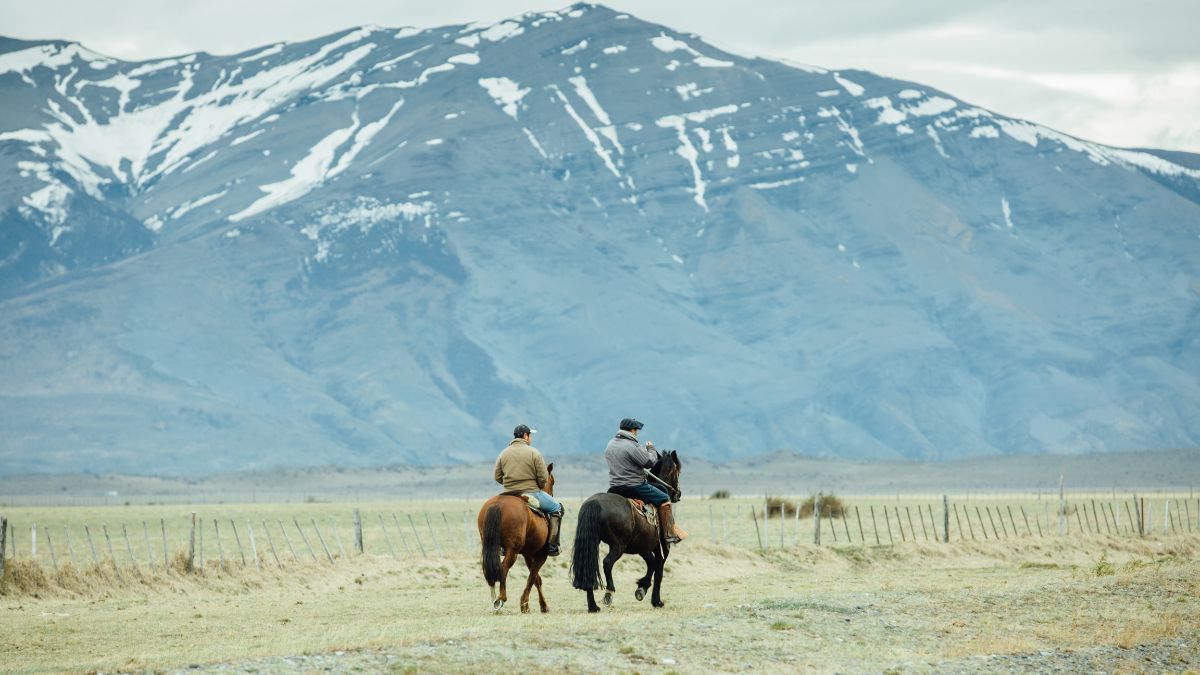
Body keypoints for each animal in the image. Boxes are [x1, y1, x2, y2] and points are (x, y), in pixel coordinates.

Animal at [475, 461, 554, 610]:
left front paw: (532, 604)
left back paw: (494, 600)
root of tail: (498, 503)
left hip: (489, 546)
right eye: (552, 481)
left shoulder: (528, 554)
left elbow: (536, 578)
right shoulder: (541, 554)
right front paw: (530, 604)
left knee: (489, 569)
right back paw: (501, 598)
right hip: (513, 550)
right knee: (503, 567)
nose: (551, 494)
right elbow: (533, 577)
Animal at [566, 449, 681, 612]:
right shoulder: (662, 548)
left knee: (588, 568)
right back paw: (609, 593)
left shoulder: (643, 548)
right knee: (607, 563)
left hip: (592, 543)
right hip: (618, 546)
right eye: (677, 471)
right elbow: (658, 571)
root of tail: (594, 503)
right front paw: (655, 599)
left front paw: (643, 588)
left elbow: (651, 564)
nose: (678, 493)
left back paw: (593, 606)